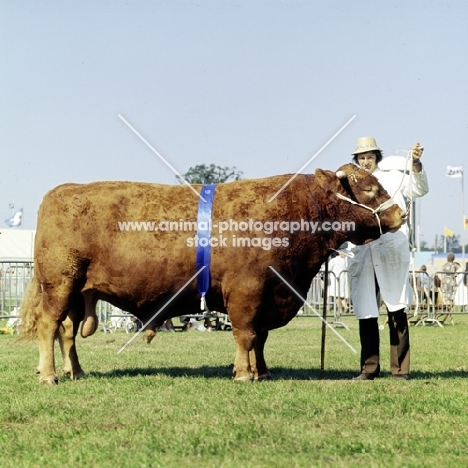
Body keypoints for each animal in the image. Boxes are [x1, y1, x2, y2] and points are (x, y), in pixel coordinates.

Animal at [20, 165, 404, 384]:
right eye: (370, 188)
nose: (401, 214)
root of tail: (62, 190)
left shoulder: (268, 293)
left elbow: (260, 338)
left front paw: (262, 371)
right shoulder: (247, 290)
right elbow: (246, 335)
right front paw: (244, 374)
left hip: (76, 292)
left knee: (67, 333)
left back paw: (75, 371)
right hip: (59, 284)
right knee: (49, 327)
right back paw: (50, 376)